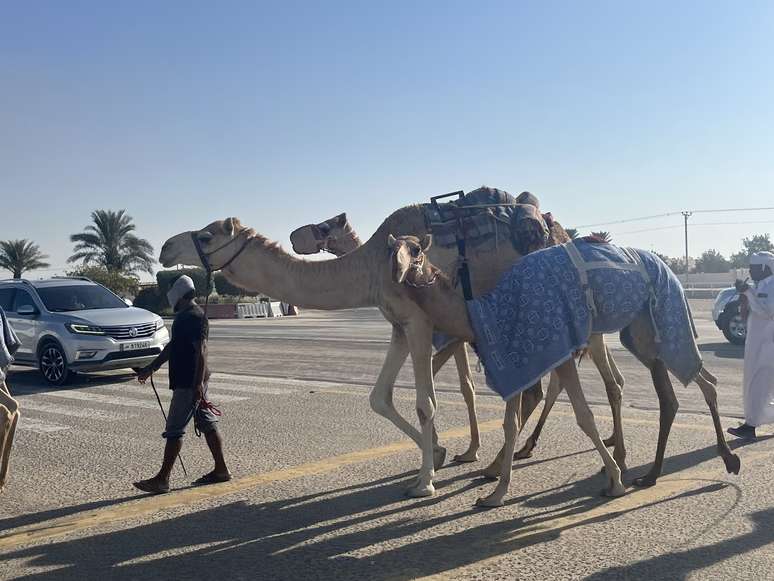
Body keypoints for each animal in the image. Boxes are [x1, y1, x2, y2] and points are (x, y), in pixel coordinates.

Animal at [159, 188, 624, 496]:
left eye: (205, 235)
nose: (165, 247)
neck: (370, 267)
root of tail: (559, 232)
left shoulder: (421, 323)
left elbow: (426, 401)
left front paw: (426, 480)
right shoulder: (399, 326)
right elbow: (379, 397)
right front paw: (439, 452)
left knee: (590, 381)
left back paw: (605, 464)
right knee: (560, 385)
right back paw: (512, 465)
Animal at [392, 233, 744, 506]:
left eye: (416, 250)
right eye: (393, 247)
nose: (398, 270)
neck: (487, 311)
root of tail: (669, 270)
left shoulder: (555, 347)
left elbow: (583, 415)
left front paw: (615, 481)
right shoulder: (518, 355)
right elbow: (510, 422)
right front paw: (496, 493)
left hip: (665, 315)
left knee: (685, 380)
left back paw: (684, 466)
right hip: (640, 331)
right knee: (689, 383)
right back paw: (686, 466)